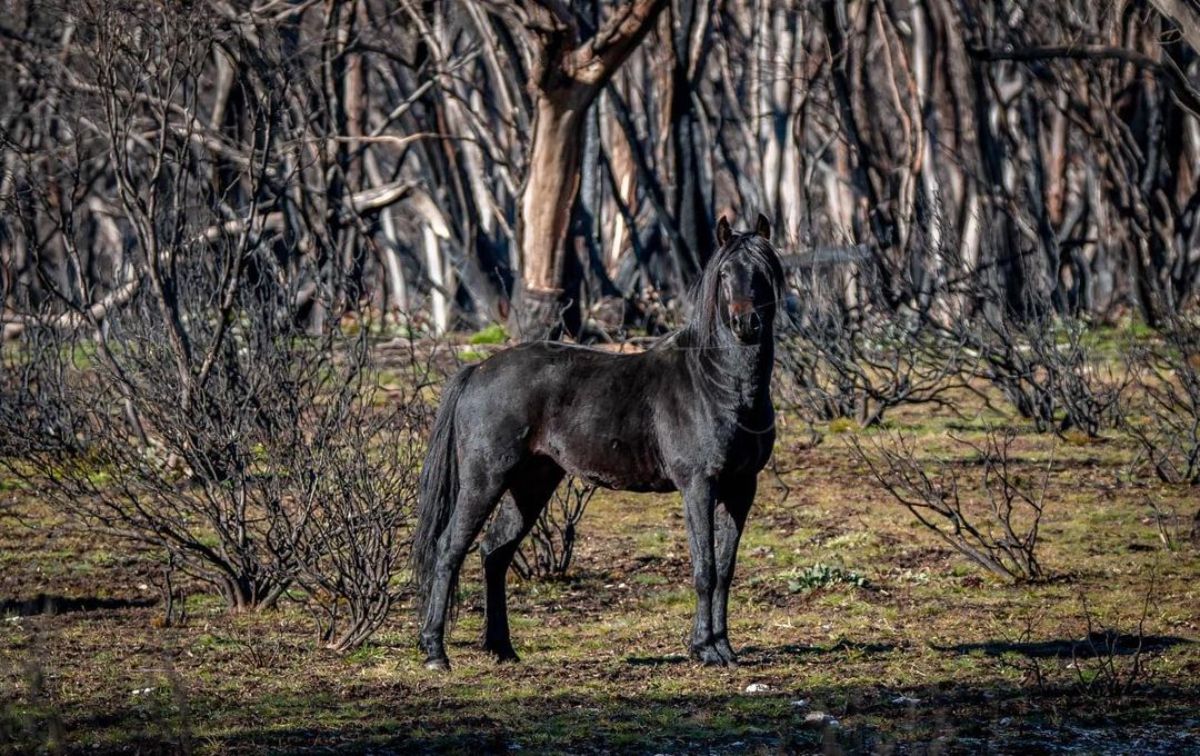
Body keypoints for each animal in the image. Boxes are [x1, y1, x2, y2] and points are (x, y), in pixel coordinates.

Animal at [415, 213, 787, 667]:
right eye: (726, 273)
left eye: (764, 270)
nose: (746, 324)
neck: (715, 383)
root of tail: (477, 370)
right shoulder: (698, 485)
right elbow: (705, 569)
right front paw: (705, 649)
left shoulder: (740, 487)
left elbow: (726, 570)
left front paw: (723, 648)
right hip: (484, 480)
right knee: (450, 549)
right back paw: (436, 651)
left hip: (531, 484)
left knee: (495, 552)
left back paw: (502, 648)